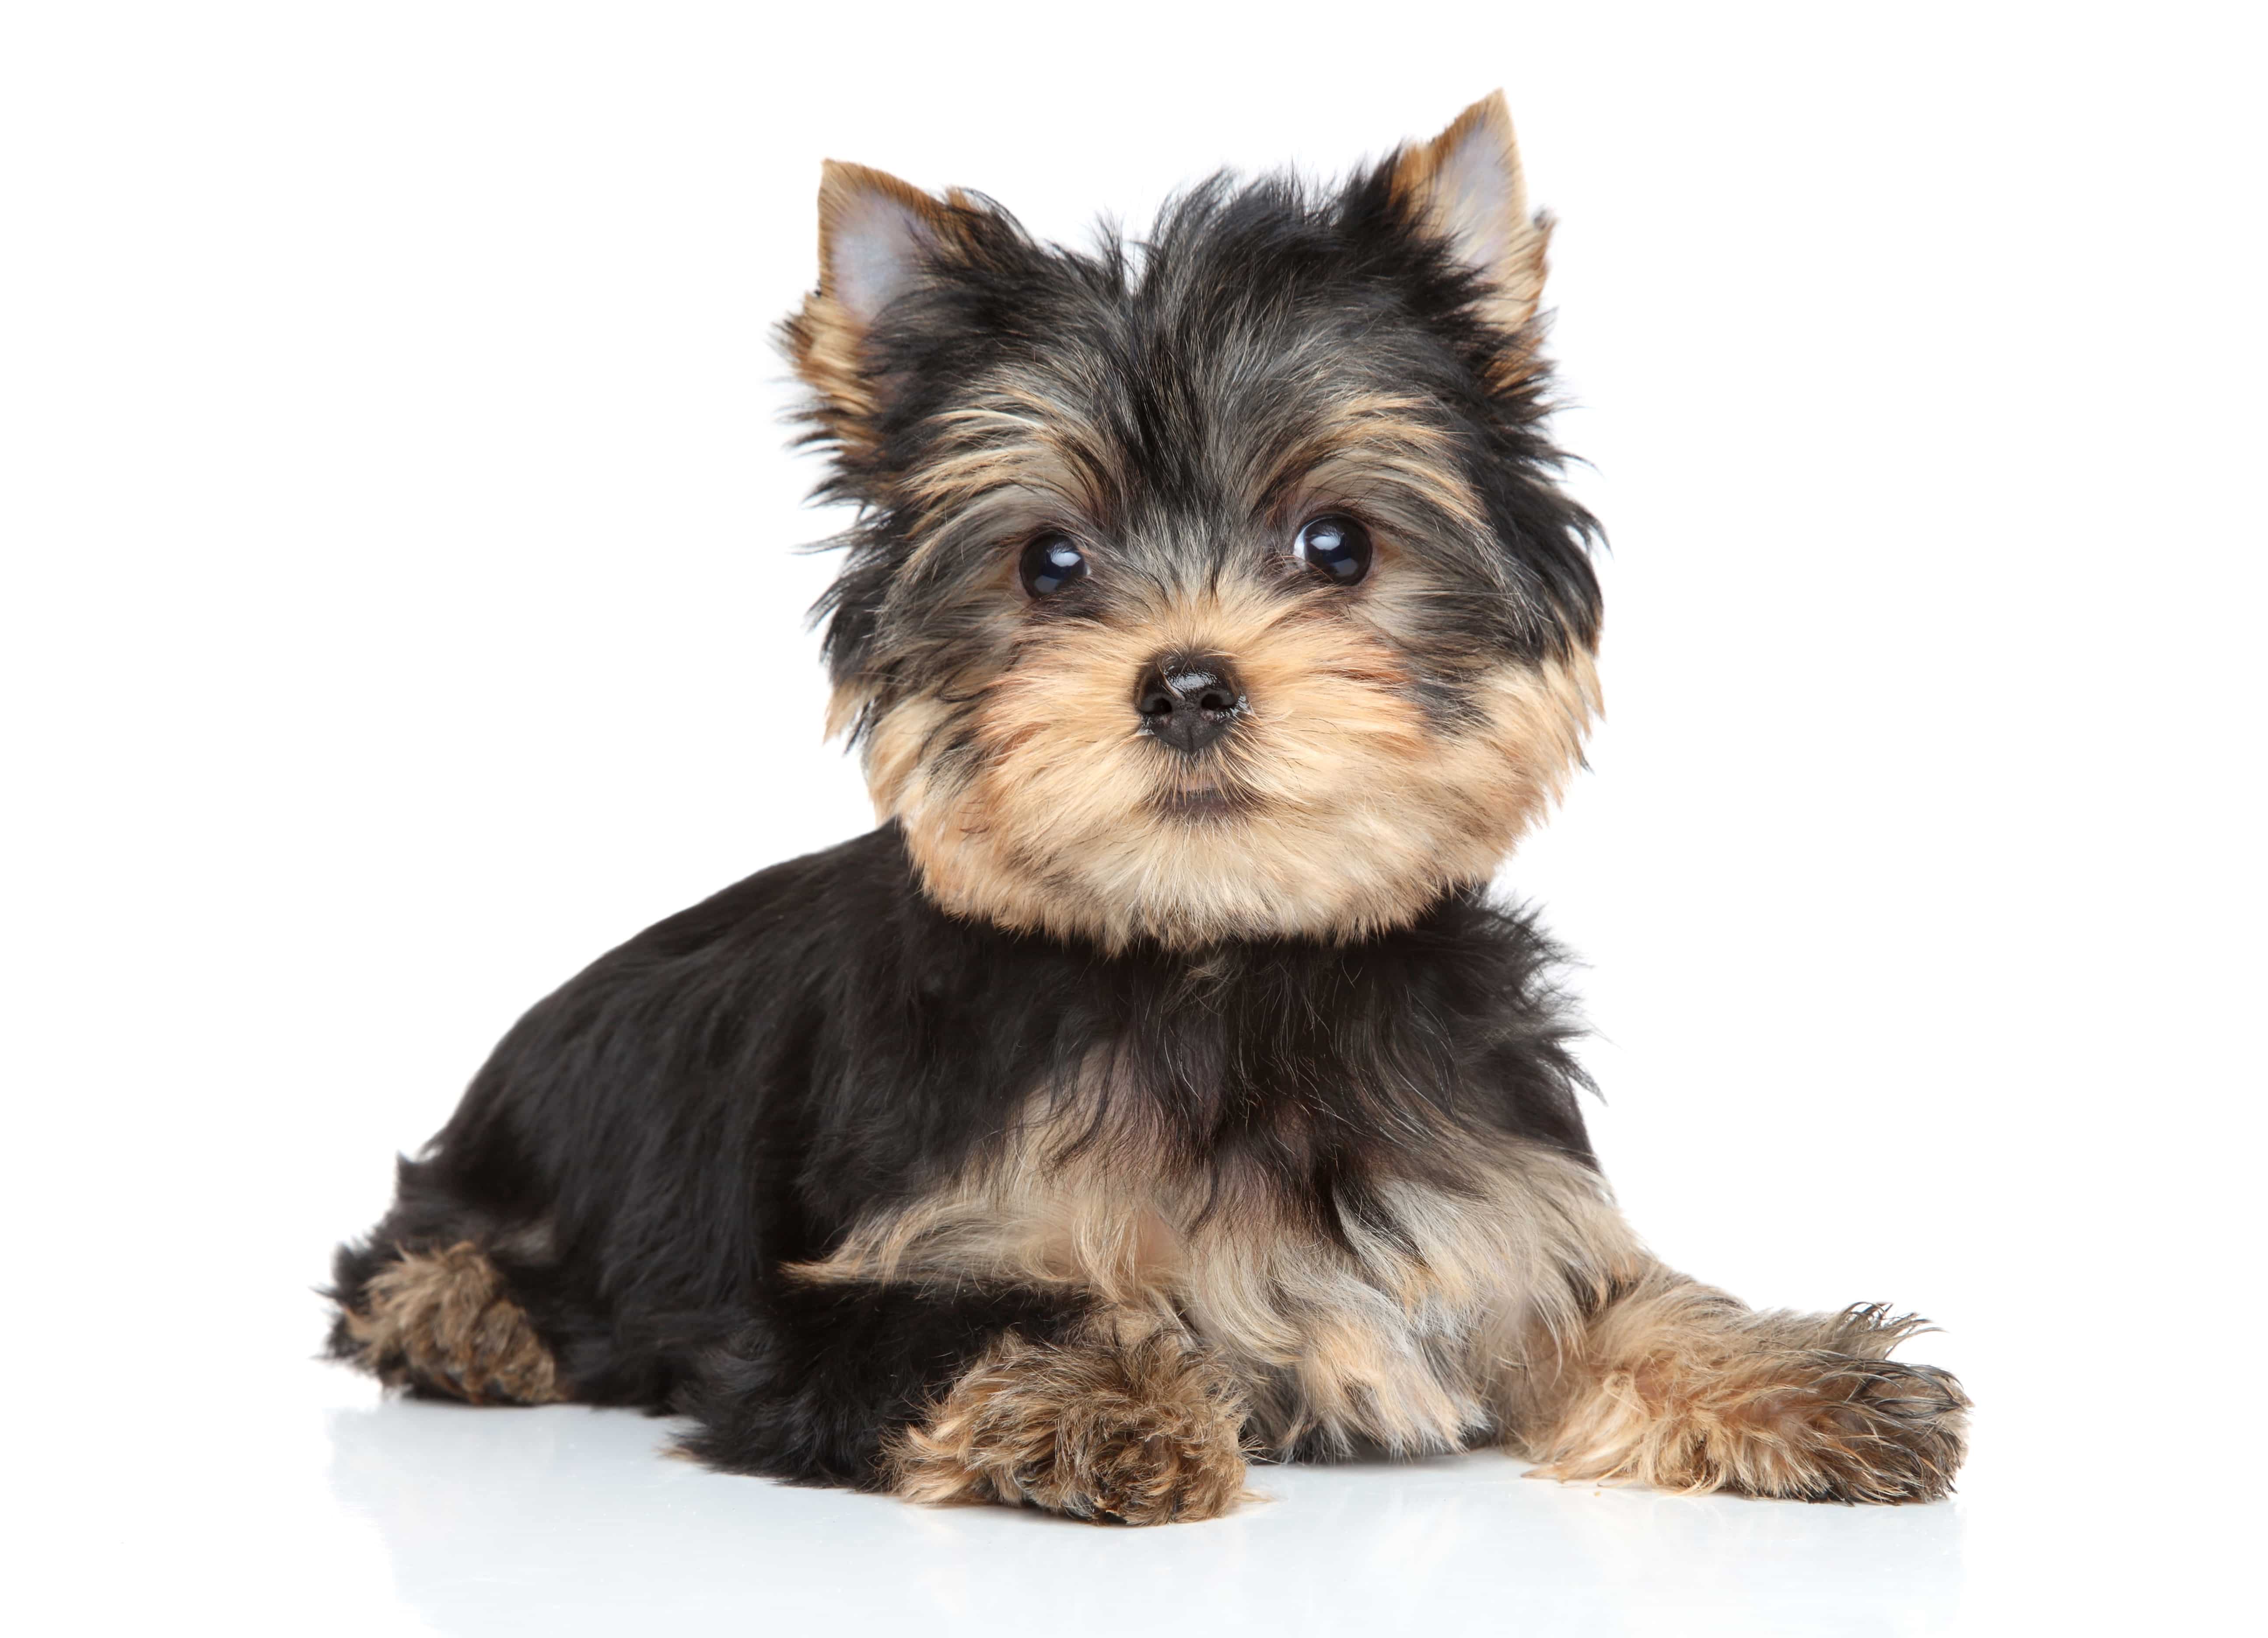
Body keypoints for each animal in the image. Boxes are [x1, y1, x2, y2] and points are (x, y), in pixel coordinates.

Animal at [324, 92, 1968, 1515]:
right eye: (1049, 564)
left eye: (1337, 544)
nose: (1186, 683)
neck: (1223, 961)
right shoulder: (839, 1290)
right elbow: (979, 1320)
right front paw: (1101, 1401)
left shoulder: (1503, 1217)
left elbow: (1618, 1303)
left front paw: (1796, 1377)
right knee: (405, 1257)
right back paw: (471, 1319)